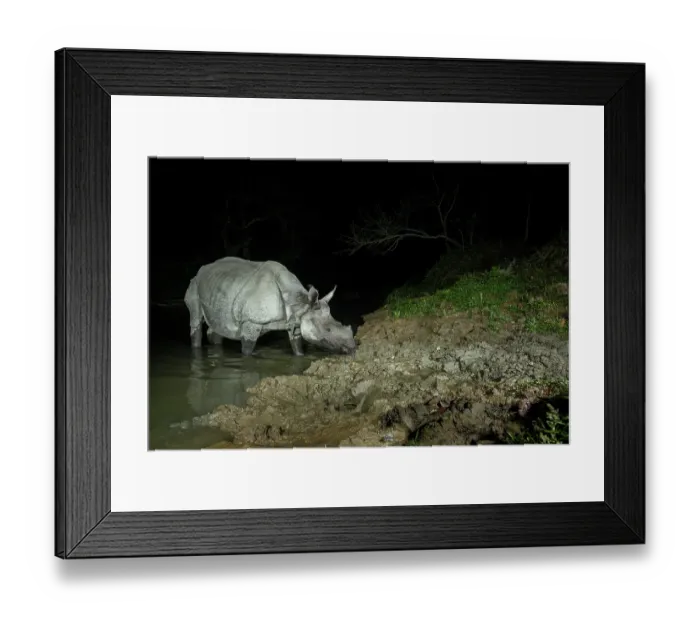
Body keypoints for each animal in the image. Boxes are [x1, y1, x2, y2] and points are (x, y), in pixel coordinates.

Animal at [184, 257, 356, 357]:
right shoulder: (251, 322)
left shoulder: (295, 321)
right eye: (328, 330)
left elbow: (297, 346)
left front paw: (300, 354)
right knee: (196, 319)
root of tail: (202, 269)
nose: (352, 348)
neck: (300, 304)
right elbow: (247, 350)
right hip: (194, 284)